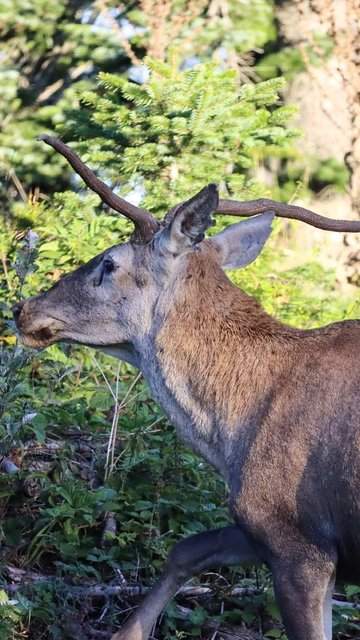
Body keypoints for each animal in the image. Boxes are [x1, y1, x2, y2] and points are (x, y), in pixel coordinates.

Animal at [11, 132, 360, 636]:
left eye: (109, 263)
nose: (23, 308)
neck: (230, 435)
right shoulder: (263, 529)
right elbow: (187, 547)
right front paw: (128, 630)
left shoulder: (298, 538)